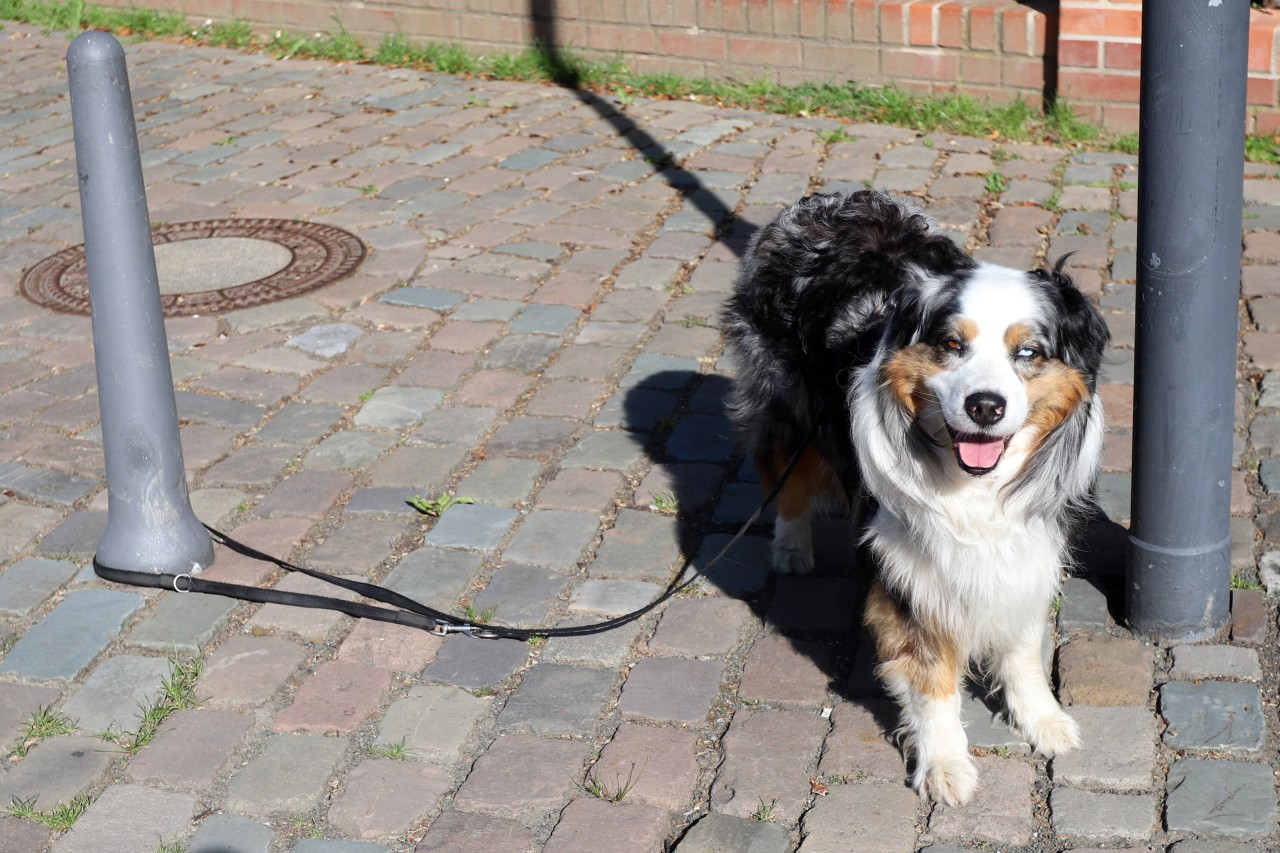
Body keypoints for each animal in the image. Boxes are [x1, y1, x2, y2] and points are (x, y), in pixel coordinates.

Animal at [721, 189, 1111, 809]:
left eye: (1028, 353)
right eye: (952, 345)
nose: (985, 406)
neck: (974, 488)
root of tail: (831, 200)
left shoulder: (1028, 550)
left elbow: (1023, 647)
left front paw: (1043, 720)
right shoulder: (908, 575)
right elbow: (932, 679)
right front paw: (945, 765)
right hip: (785, 400)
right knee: (784, 472)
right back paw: (791, 546)